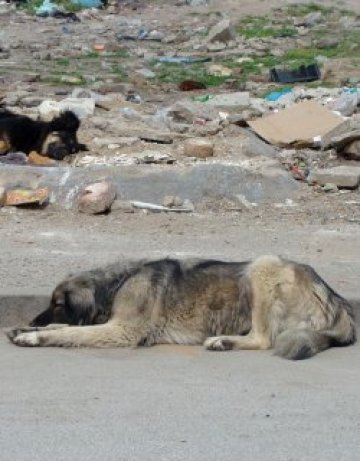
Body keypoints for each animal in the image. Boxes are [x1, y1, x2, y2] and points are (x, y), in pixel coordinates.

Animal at [6, 255, 358, 360]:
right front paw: (25, 327)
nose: (32, 317)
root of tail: (339, 302)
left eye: (57, 303)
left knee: (263, 339)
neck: (118, 282)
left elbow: (67, 332)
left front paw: (33, 336)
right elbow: (65, 327)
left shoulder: (121, 331)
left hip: (262, 265)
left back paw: (223, 341)